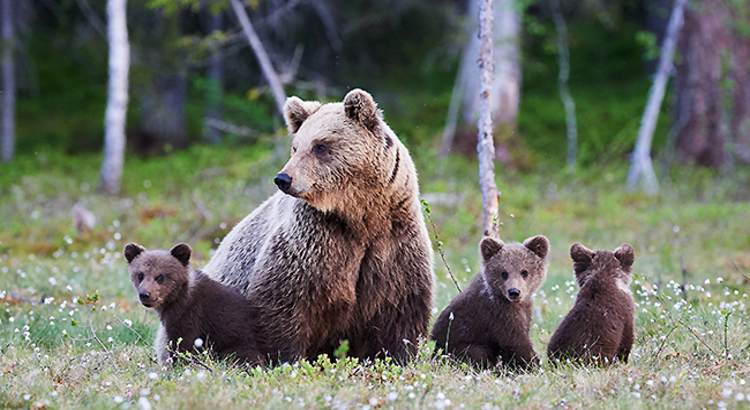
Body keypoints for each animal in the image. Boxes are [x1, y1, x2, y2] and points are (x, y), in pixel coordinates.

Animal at [203, 89, 434, 362]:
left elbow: (400, 310)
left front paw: (397, 356)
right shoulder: (313, 241)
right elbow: (282, 301)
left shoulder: (394, 242)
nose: (283, 178)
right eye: (295, 146)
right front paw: (285, 357)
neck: (360, 215)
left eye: (320, 145)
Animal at [432, 235, 548, 370]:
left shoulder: (524, 309)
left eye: (525, 271)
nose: (514, 292)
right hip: (456, 345)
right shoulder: (499, 313)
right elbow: (515, 341)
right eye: (504, 272)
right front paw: (535, 365)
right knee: (477, 353)